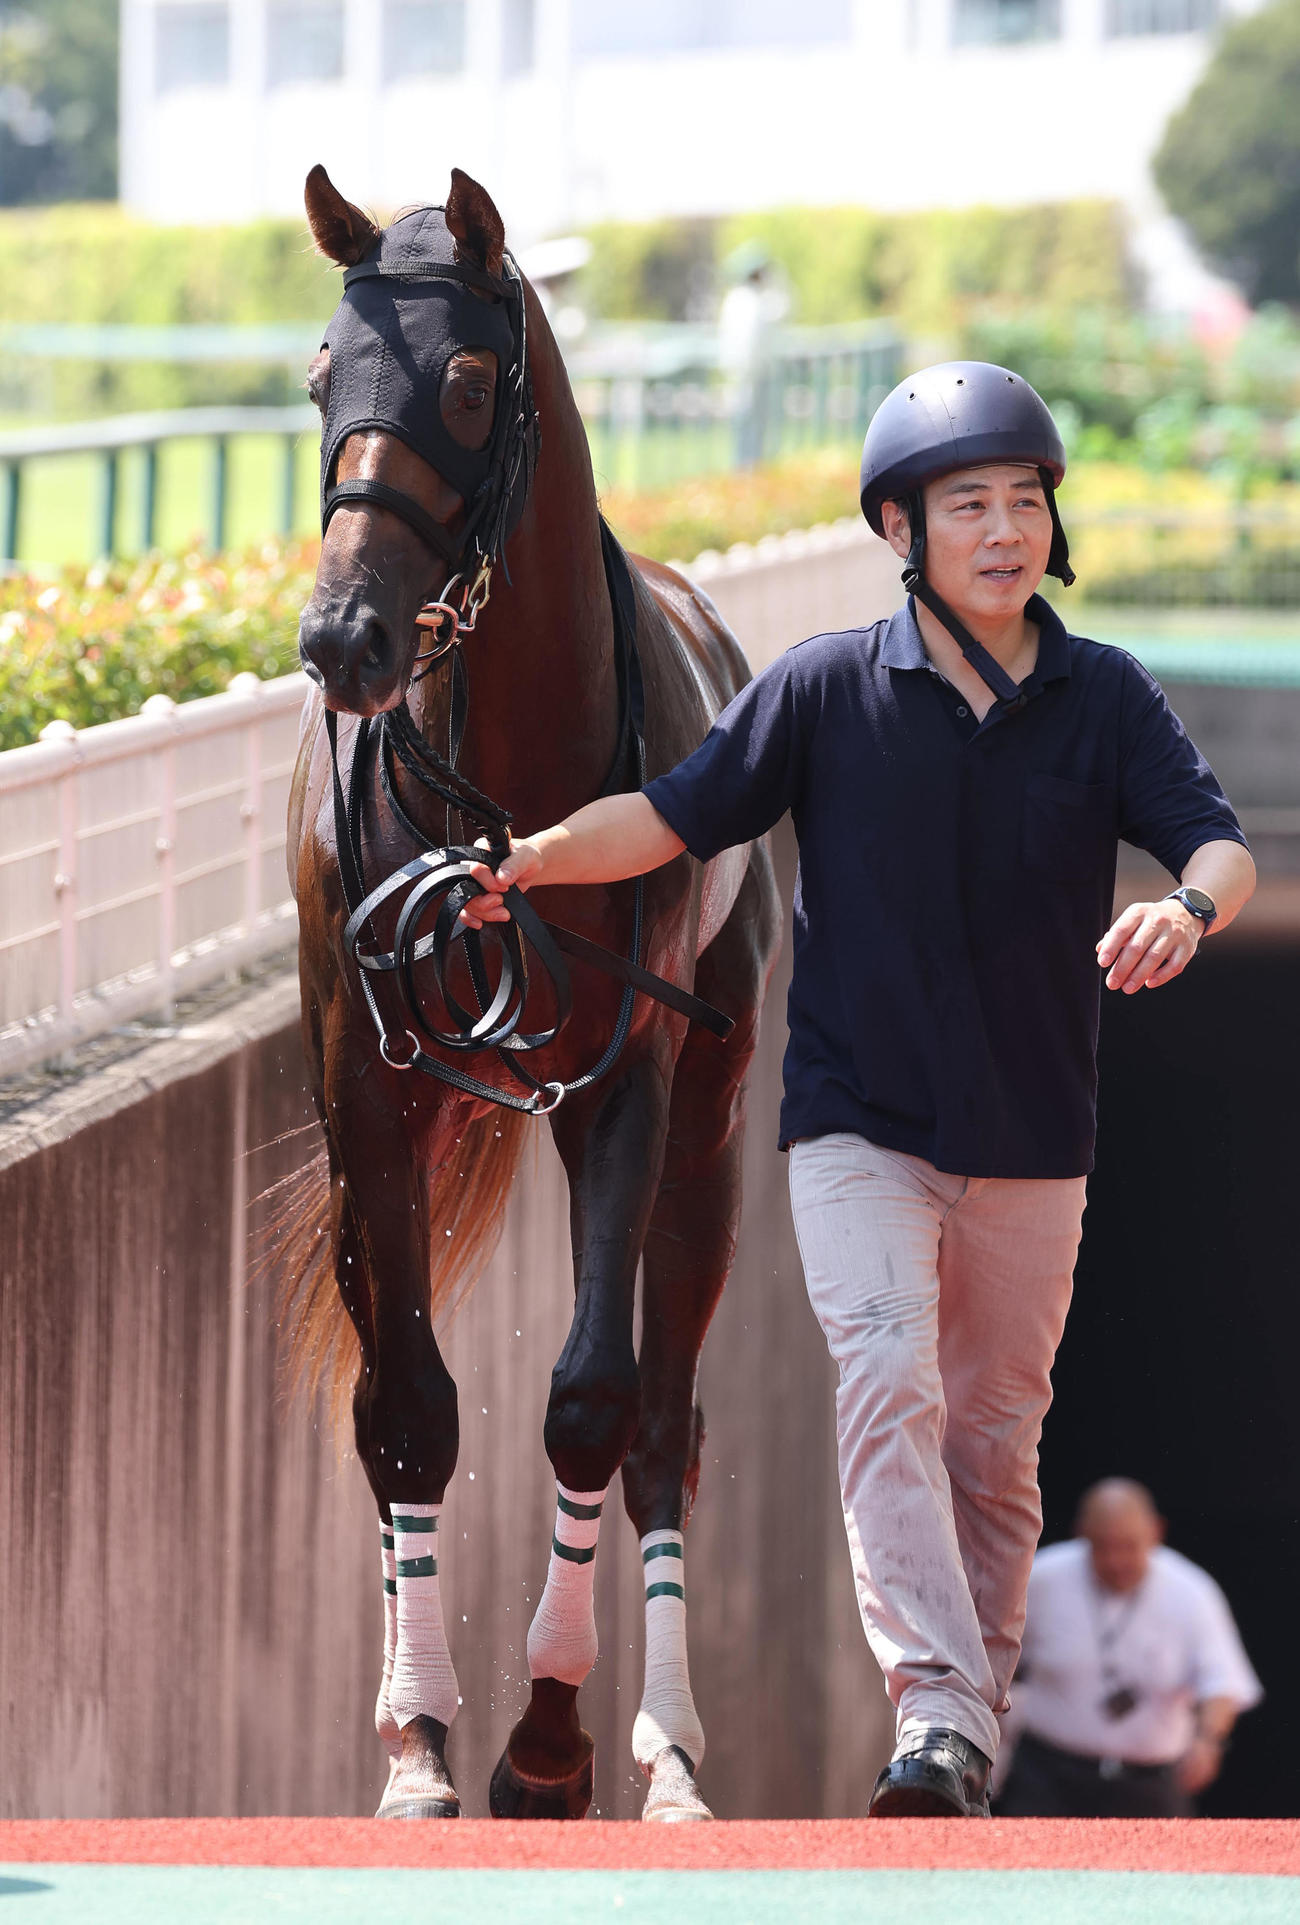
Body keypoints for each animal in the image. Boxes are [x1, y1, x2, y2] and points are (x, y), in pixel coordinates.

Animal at [277, 163, 780, 1823]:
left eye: (465, 380)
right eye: (321, 375)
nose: (342, 636)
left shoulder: (628, 1076)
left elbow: (590, 1399)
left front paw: (548, 1740)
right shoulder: (362, 1084)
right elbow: (407, 1409)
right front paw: (418, 1744)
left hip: (710, 1108)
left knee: (669, 1414)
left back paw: (667, 1747)